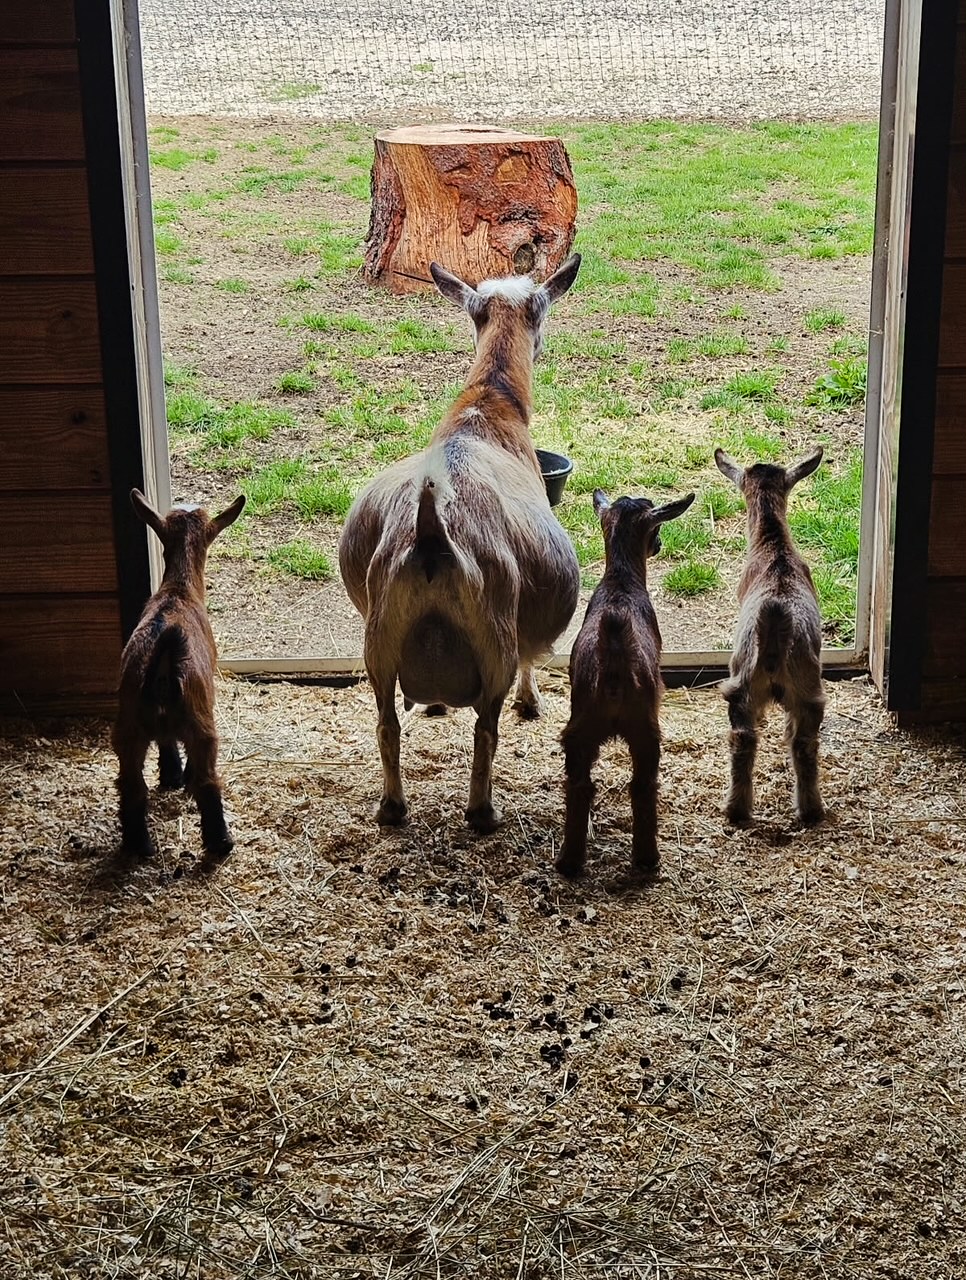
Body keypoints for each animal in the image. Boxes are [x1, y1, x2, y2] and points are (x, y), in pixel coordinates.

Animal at [112, 488, 245, 857]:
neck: (179, 589)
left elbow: (167, 741)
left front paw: (171, 776)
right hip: (201, 726)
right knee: (206, 781)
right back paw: (220, 842)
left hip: (128, 730)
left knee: (131, 785)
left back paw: (139, 845)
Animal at [338, 255, 582, 832]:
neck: (487, 406)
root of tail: (431, 533)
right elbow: (531, 660)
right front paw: (531, 702)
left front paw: (434, 705)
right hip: (494, 642)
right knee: (485, 730)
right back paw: (482, 810)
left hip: (378, 643)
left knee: (386, 725)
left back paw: (392, 806)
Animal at [558, 487, 695, 879]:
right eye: (656, 528)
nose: (659, 545)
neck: (620, 582)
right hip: (645, 730)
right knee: (643, 786)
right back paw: (647, 858)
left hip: (580, 729)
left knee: (580, 785)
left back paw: (569, 861)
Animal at [714, 446, 826, 826]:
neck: (775, 547)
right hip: (803, 688)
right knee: (801, 742)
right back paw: (808, 810)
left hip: (744, 681)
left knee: (745, 737)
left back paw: (738, 809)